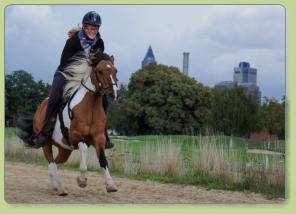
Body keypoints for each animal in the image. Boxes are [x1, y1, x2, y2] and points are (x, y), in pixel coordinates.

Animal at [17, 51, 118, 196]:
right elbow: (84, 150)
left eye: (115, 70)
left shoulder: (99, 139)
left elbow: (103, 160)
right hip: (46, 143)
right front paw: (82, 181)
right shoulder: (75, 137)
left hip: (65, 149)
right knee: (51, 164)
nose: (112, 94)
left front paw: (110, 185)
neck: (90, 107)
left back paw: (55, 186)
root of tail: (40, 107)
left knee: (55, 164)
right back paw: (60, 188)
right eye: (99, 71)